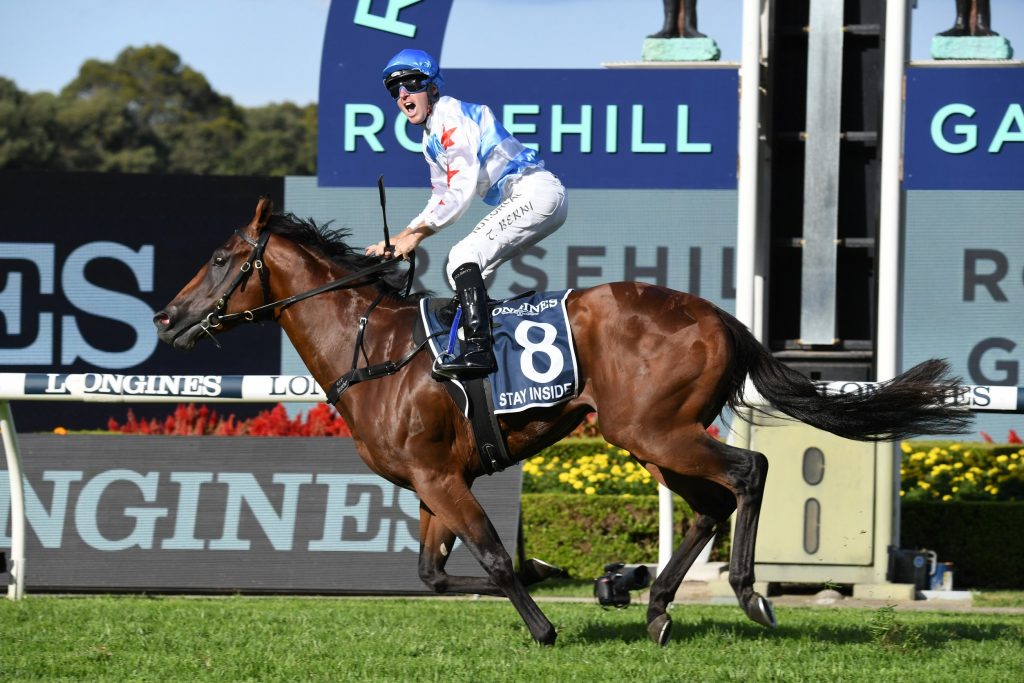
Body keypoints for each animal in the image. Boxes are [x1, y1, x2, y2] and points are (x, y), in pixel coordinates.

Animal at [154, 197, 970, 646]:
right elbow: (433, 574)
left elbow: (493, 558)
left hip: (655, 432)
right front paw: (593, 580)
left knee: (750, 471)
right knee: (710, 501)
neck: (377, 350)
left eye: (223, 257)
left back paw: (747, 592)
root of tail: (723, 318)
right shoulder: (430, 483)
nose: (167, 315)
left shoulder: (440, 476)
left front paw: (548, 623)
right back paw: (652, 603)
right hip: (651, 438)